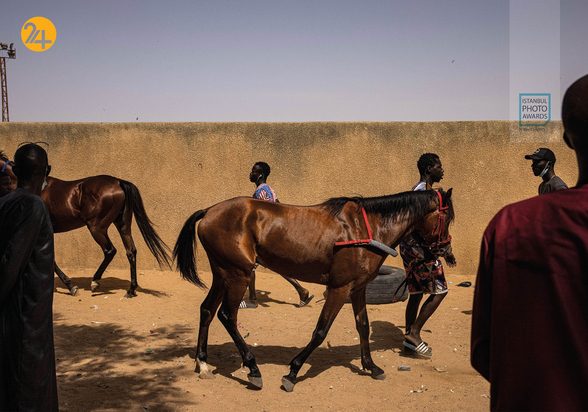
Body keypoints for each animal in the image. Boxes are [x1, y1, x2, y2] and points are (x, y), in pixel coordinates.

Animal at [1, 153, 172, 298]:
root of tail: (118, 182)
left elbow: (52, 261)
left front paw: (71, 287)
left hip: (96, 227)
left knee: (110, 250)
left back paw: (95, 282)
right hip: (122, 224)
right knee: (131, 251)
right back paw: (130, 290)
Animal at [173, 188, 454, 392]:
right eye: (448, 218)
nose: (445, 251)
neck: (365, 228)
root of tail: (209, 211)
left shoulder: (358, 288)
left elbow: (363, 326)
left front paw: (371, 366)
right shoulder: (339, 288)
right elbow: (320, 331)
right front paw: (293, 372)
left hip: (223, 274)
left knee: (207, 310)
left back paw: (203, 362)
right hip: (237, 274)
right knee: (227, 316)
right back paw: (253, 368)